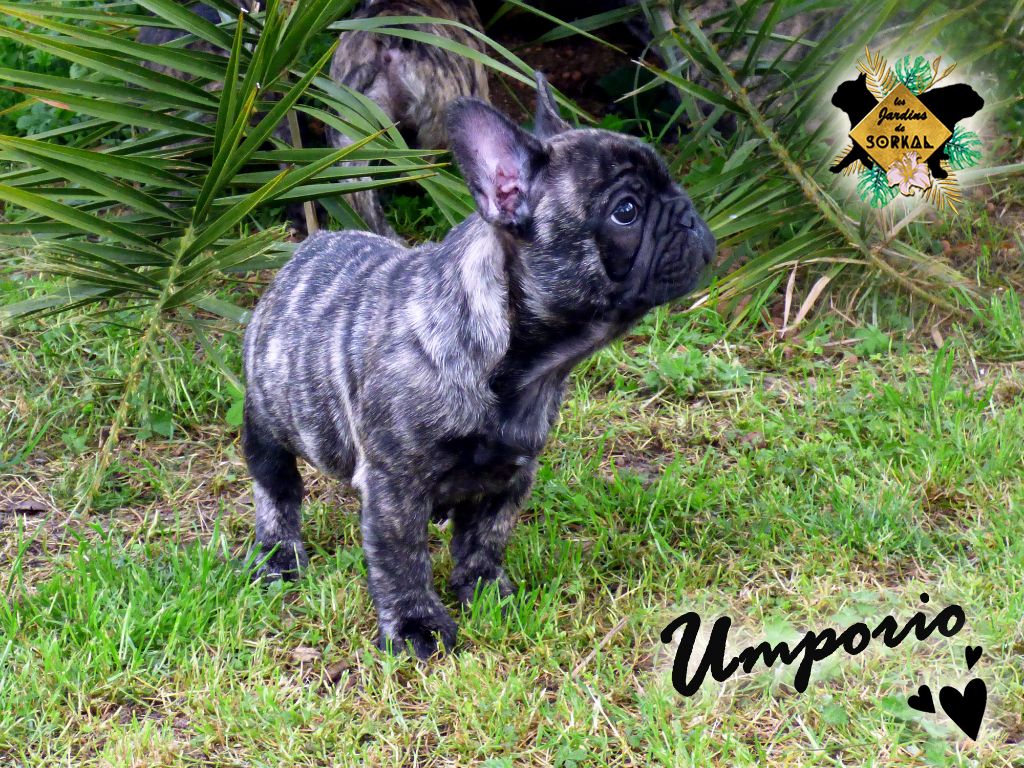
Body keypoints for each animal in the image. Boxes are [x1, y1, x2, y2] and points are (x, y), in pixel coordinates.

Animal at [242, 72, 715, 658]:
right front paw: (416, 626)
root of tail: (310, 246)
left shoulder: (511, 473)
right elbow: (401, 558)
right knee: (276, 490)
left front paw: (488, 591)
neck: (520, 368)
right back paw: (277, 556)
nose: (689, 215)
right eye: (625, 211)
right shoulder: (395, 486)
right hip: (267, 424)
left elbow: (484, 537)